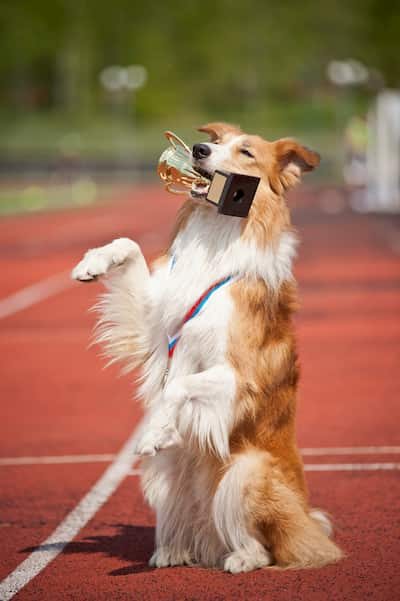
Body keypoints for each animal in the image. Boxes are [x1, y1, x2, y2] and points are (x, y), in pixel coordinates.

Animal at [72, 122, 344, 572]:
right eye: (216, 142)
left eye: (246, 152)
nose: (199, 149)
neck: (216, 237)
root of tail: (306, 523)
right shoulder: (153, 325)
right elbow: (129, 244)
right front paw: (92, 262)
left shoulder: (240, 378)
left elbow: (179, 386)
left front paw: (158, 428)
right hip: (166, 472)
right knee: (198, 529)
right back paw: (174, 550)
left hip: (245, 469)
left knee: (266, 546)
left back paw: (242, 558)